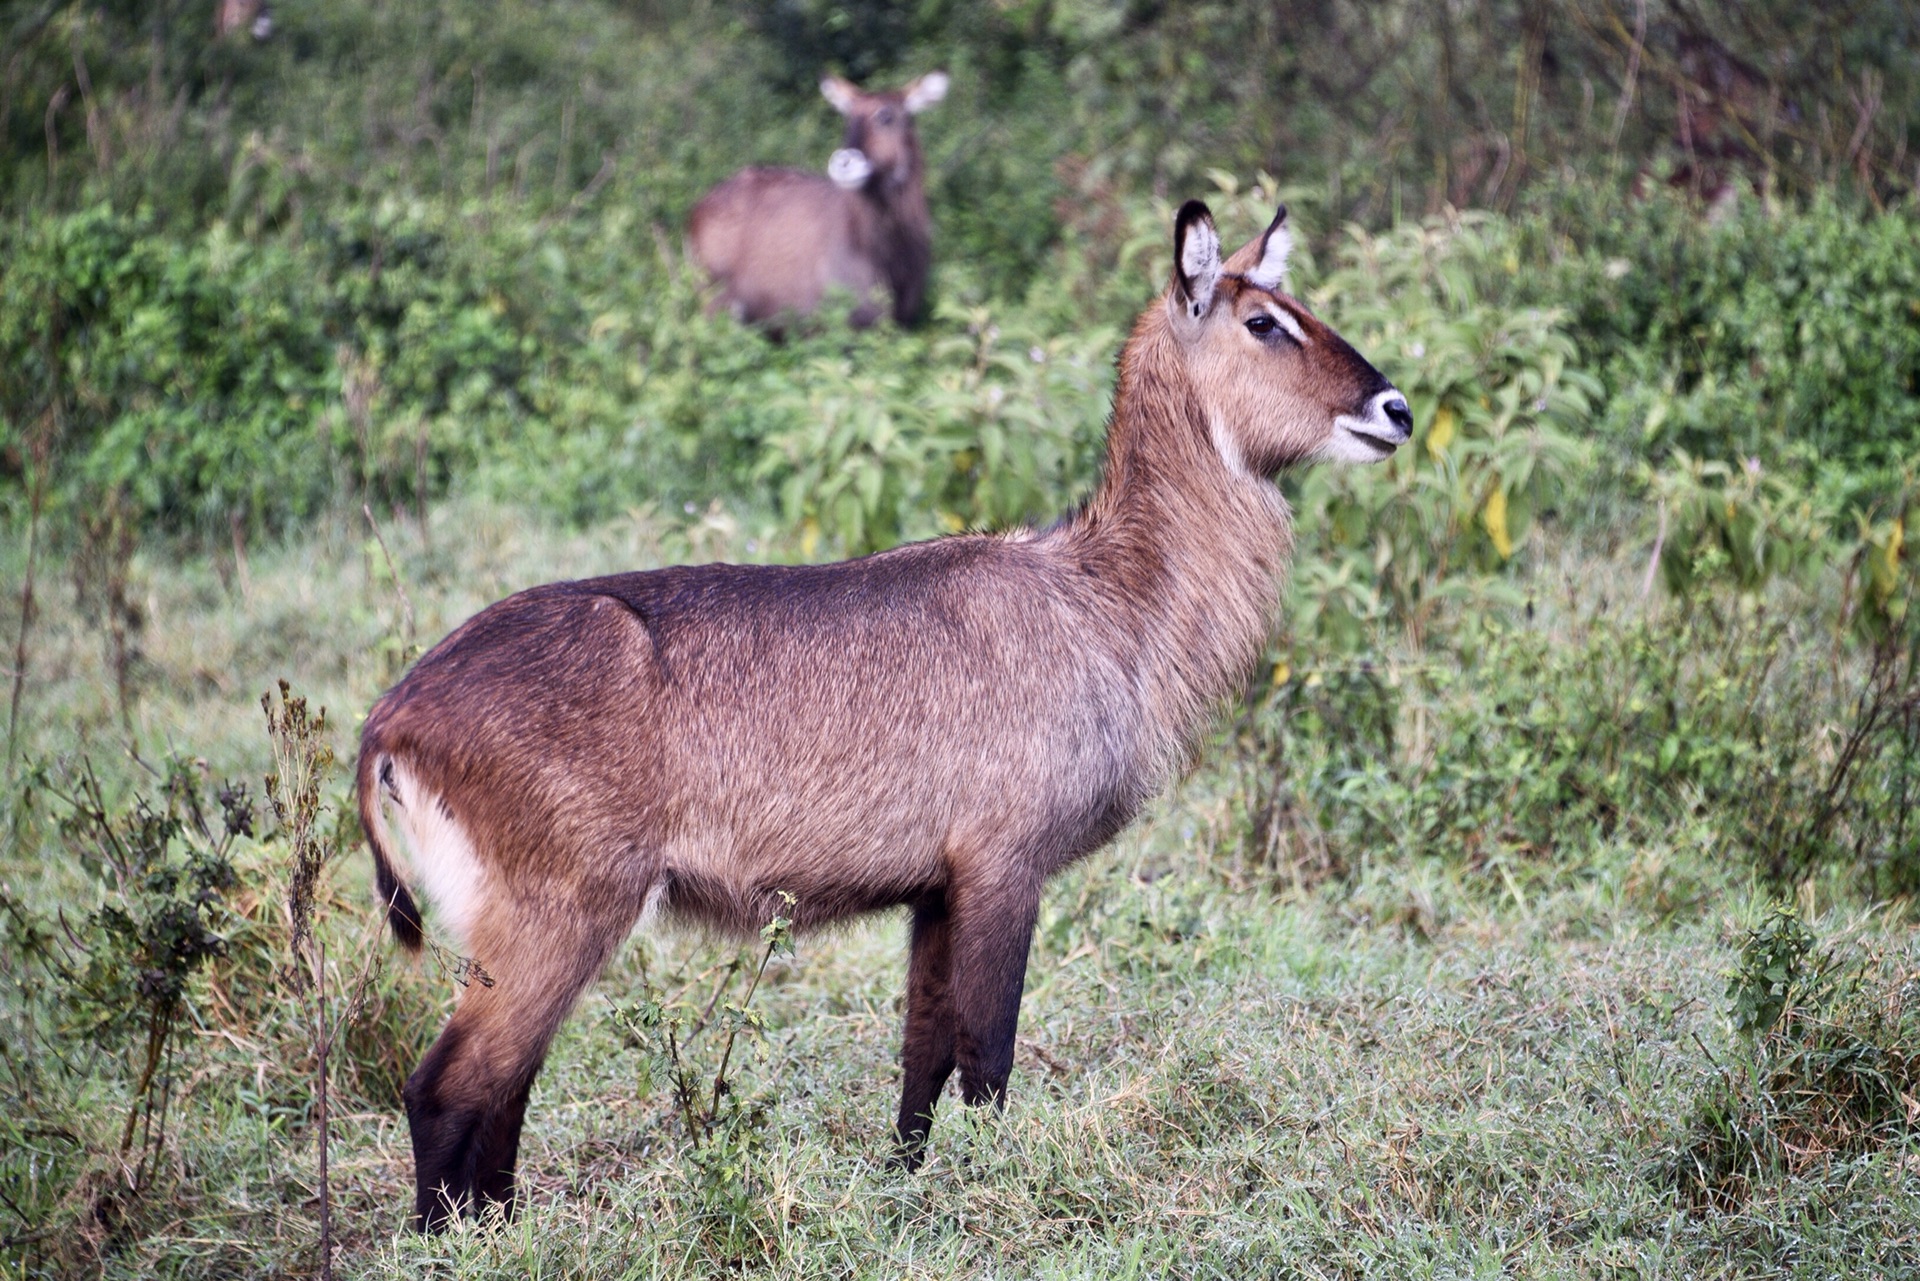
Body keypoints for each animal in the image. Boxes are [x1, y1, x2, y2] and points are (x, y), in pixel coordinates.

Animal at [357, 195, 1413, 1229]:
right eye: (1265, 322)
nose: (1394, 408)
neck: (1106, 599)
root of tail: (391, 714)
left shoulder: (935, 888)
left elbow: (923, 1058)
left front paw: (906, 1195)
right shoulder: (1002, 864)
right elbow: (988, 1055)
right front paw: (997, 1200)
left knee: (506, 1087)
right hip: (559, 913)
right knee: (448, 1086)